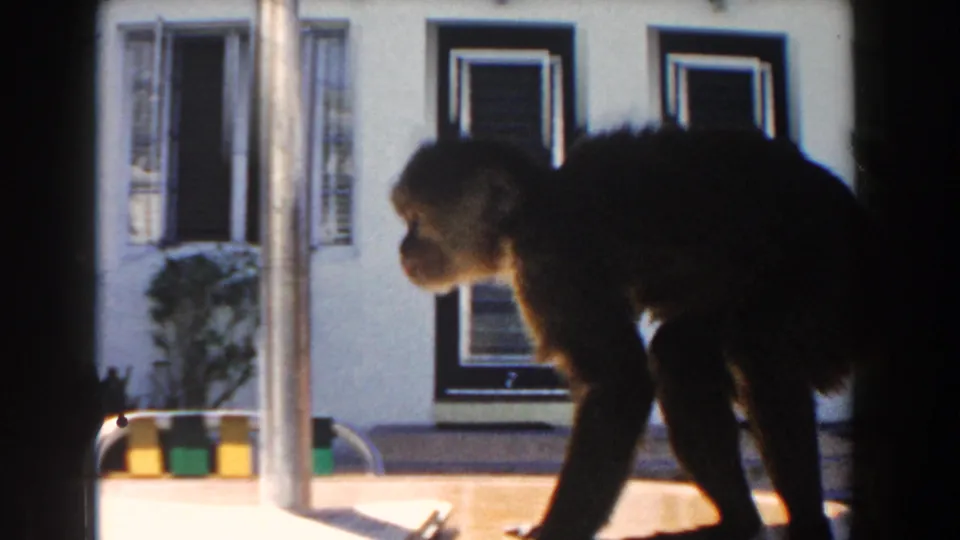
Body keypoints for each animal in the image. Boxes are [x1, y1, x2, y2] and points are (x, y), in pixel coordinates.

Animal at [390, 124, 886, 540]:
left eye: (417, 220)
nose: (403, 248)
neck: (534, 208)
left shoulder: (552, 257)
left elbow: (620, 383)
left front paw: (557, 530)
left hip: (822, 274)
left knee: (760, 358)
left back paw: (805, 522)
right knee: (682, 354)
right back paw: (740, 521)